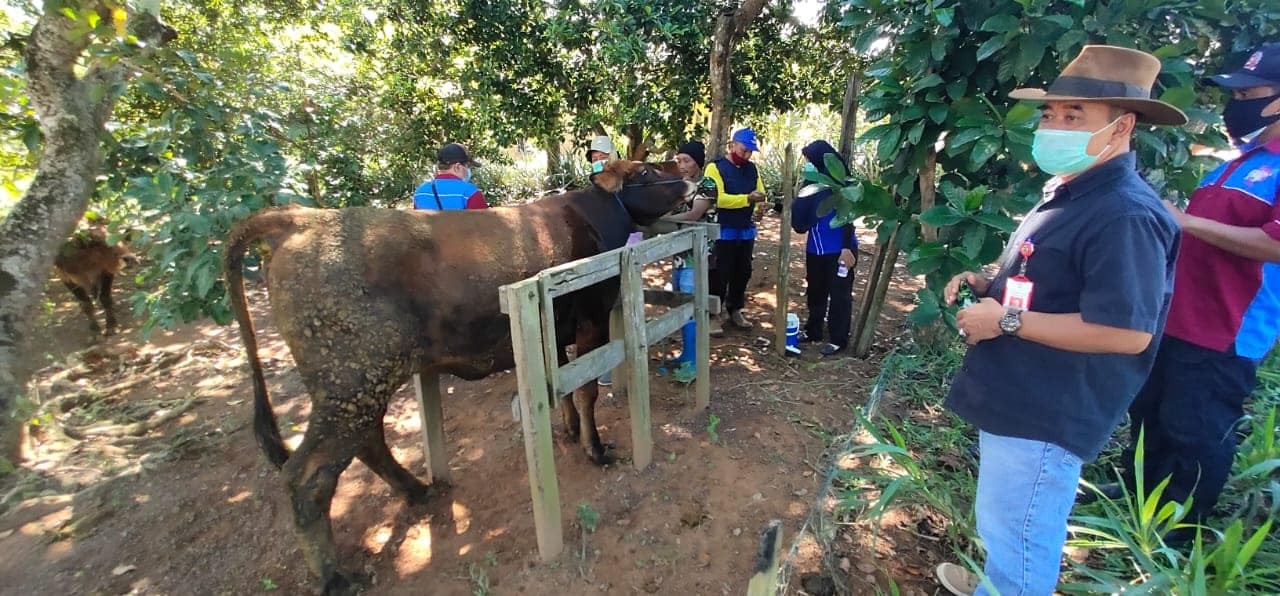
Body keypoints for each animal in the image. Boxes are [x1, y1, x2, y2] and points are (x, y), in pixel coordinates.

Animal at [225, 158, 696, 590]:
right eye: (647, 171)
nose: (689, 171)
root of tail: (303, 219)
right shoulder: (591, 319)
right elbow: (584, 391)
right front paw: (594, 450)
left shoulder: (558, 327)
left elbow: (565, 386)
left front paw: (567, 431)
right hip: (351, 383)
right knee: (307, 477)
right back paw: (335, 577)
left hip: (360, 385)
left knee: (369, 442)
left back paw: (418, 490)